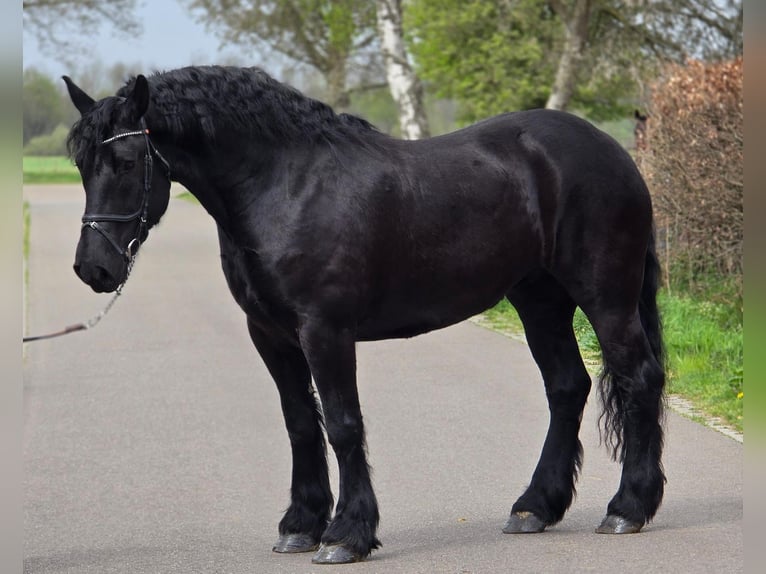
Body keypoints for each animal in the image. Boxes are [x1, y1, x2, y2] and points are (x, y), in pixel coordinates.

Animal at [63, 66, 666, 565]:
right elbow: (300, 424)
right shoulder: (271, 335)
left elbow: (343, 424)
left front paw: (346, 535)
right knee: (567, 387)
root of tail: (613, 151)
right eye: (81, 165)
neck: (285, 186)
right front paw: (300, 525)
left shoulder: (325, 330)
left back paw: (628, 507)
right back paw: (535, 507)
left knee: (639, 378)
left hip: (605, 297)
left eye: (125, 162)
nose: (93, 268)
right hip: (539, 300)